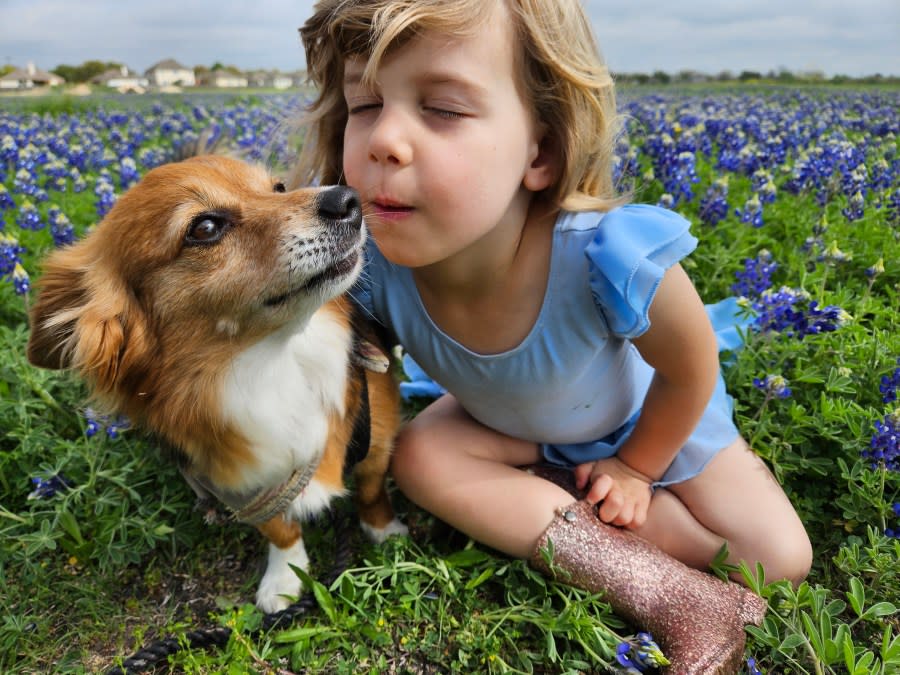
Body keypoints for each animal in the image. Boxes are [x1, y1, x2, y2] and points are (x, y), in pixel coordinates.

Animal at [28, 154, 408, 612]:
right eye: (204, 228)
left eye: (279, 188)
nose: (347, 199)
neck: (275, 367)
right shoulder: (241, 484)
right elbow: (278, 529)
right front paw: (284, 578)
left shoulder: (378, 441)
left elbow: (371, 490)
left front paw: (386, 533)